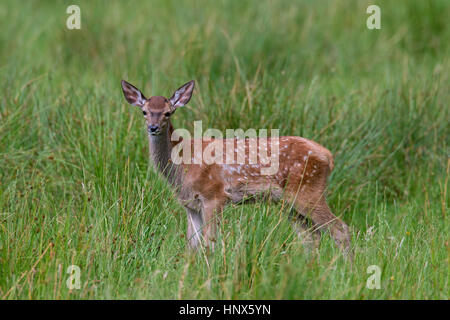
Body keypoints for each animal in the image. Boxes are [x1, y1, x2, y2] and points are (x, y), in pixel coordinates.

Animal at [120, 79, 352, 255]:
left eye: (168, 112)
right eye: (144, 111)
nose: (153, 127)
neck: (182, 166)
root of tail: (328, 156)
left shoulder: (213, 195)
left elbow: (210, 243)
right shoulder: (189, 204)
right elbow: (192, 245)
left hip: (309, 190)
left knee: (340, 229)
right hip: (289, 202)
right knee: (311, 236)